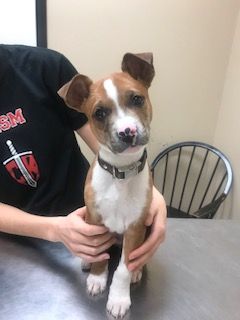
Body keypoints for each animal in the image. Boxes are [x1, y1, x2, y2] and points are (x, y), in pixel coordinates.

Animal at [58, 52, 155, 318]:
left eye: (137, 99)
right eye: (99, 113)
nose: (127, 132)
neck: (120, 175)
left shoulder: (135, 227)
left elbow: (123, 268)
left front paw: (119, 298)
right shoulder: (95, 220)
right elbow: (100, 254)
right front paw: (97, 278)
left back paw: (137, 271)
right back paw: (87, 261)